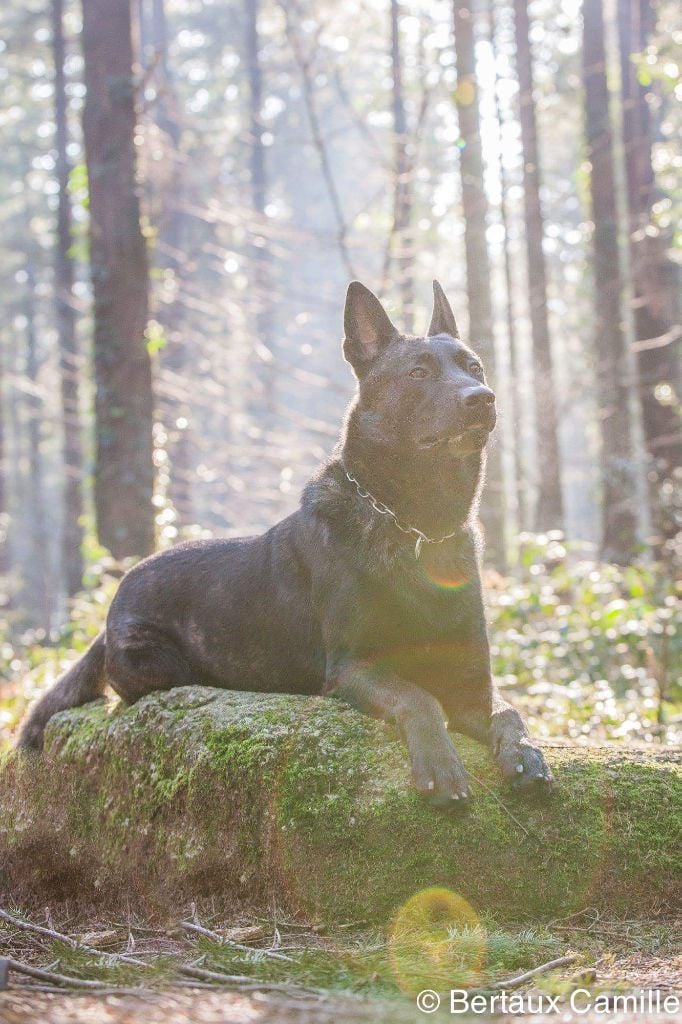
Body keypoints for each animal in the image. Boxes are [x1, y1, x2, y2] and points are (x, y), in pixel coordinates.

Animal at [18, 282, 548, 806]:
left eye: (474, 367)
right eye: (418, 372)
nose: (483, 398)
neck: (416, 525)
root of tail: (114, 605)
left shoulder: (471, 683)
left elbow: (508, 711)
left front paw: (524, 754)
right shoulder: (351, 668)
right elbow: (419, 697)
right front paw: (439, 763)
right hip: (163, 663)